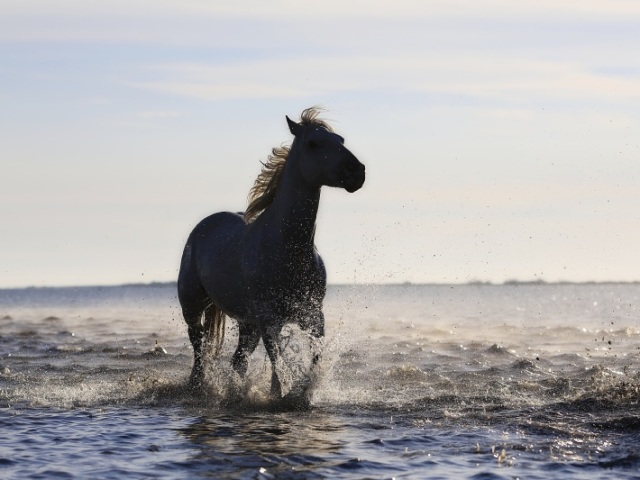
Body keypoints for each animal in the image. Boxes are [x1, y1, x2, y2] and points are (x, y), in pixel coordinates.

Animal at [176, 108, 364, 398]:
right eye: (314, 143)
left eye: (340, 139)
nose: (357, 172)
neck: (287, 248)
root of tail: (203, 226)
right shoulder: (269, 319)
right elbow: (278, 361)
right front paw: (280, 393)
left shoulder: (312, 315)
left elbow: (313, 358)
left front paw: (302, 391)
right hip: (193, 307)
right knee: (200, 351)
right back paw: (197, 385)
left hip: (247, 324)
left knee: (238, 360)